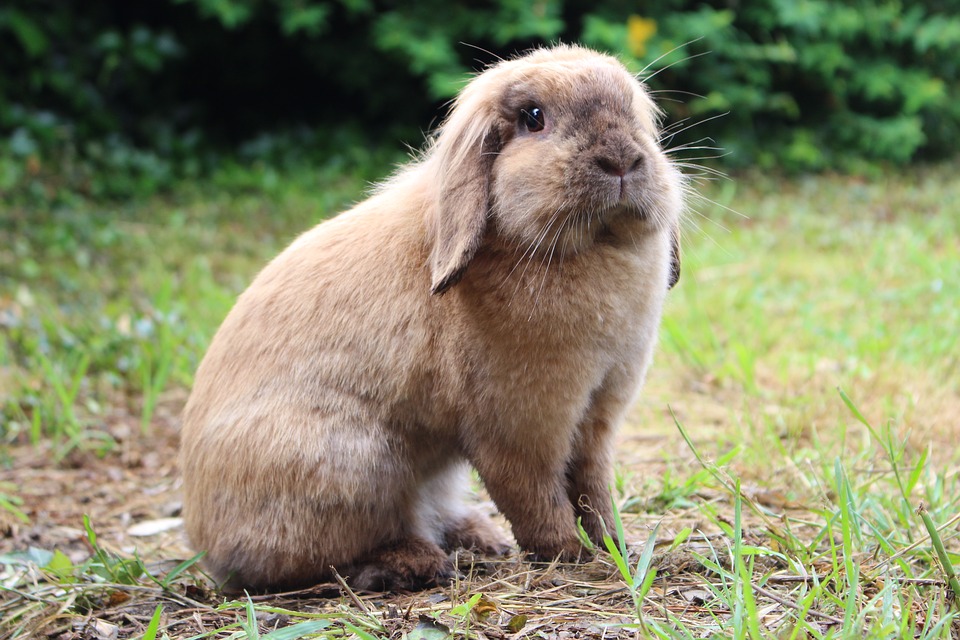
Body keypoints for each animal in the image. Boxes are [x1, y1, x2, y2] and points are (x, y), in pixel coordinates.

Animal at [180, 46, 688, 596]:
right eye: (533, 118)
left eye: (633, 109)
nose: (621, 160)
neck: (587, 248)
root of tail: (207, 540)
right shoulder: (518, 428)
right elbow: (535, 495)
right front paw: (569, 554)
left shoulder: (597, 419)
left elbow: (593, 489)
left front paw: (616, 546)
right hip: (354, 466)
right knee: (324, 558)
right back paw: (417, 563)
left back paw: (480, 538)